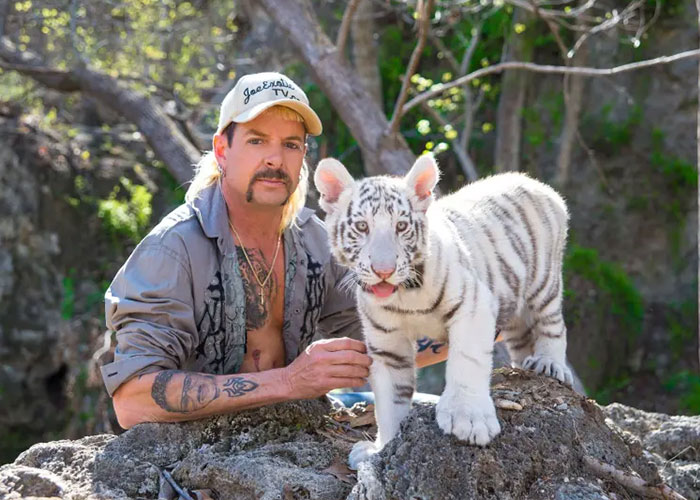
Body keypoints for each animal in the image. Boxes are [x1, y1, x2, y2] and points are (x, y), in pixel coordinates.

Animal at [313, 153, 573, 469]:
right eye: (362, 227)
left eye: (402, 226)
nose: (384, 271)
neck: (405, 295)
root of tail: (535, 182)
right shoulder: (387, 343)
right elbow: (390, 400)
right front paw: (383, 449)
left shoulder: (473, 305)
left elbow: (467, 361)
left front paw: (469, 420)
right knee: (522, 339)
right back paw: (525, 366)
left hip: (544, 282)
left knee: (553, 323)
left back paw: (550, 363)